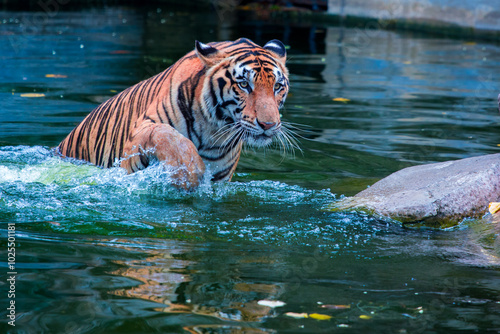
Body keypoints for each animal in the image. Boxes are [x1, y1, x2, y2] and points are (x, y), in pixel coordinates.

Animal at [57, 37, 292, 189]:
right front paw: (187, 171)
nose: (269, 125)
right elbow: (166, 135)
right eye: (244, 84)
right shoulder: (139, 133)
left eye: (278, 86)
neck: (213, 130)